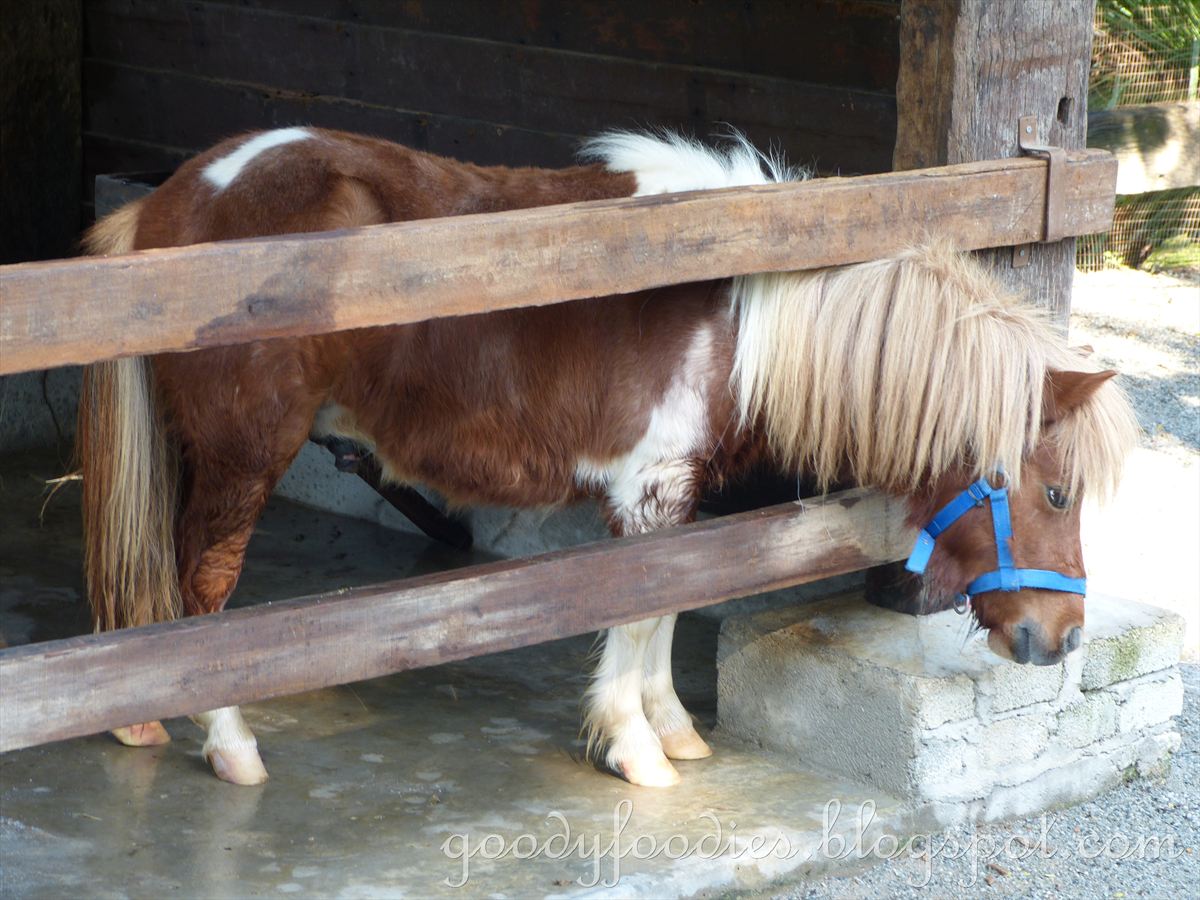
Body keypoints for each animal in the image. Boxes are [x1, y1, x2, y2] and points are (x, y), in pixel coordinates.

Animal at [78, 128, 1140, 788]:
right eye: (1053, 491)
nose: (1061, 639)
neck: (744, 309)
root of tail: (177, 199)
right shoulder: (648, 488)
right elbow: (635, 614)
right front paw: (636, 753)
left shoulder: (675, 497)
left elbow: (666, 607)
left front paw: (671, 731)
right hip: (241, 457)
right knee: (202, 592)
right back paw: (230, 747)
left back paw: (138, 719)